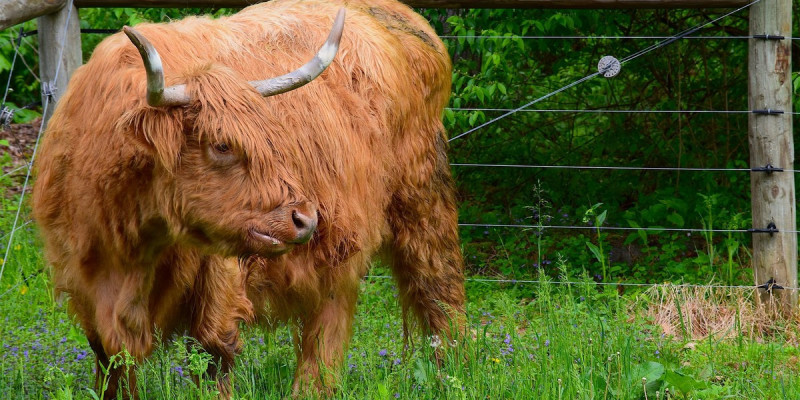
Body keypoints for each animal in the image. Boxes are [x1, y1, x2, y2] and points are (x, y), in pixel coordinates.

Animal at [34, 0, 466, 396]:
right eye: (222, 145)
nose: (305, 218)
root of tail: (400, 15)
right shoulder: (83, 283)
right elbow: (112, 362)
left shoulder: (219, 277)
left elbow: (213, 352)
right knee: (335, 309)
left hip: (421, 198)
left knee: (435, 285)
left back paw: (452, 369)